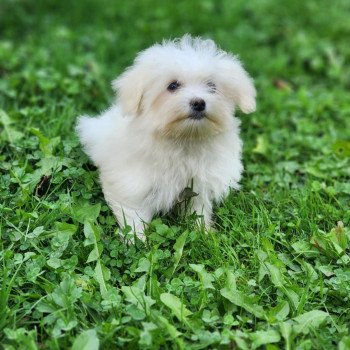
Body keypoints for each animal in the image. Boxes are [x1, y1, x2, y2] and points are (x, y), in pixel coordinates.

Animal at [77, 35, 258, 242]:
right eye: (172, 86)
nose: (198, 102)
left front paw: (202, 231)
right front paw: (136, 241)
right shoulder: (133, 182)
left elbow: (198, 208)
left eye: (212, 87)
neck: (185, 138)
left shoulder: (199, 183)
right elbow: (132, 213)